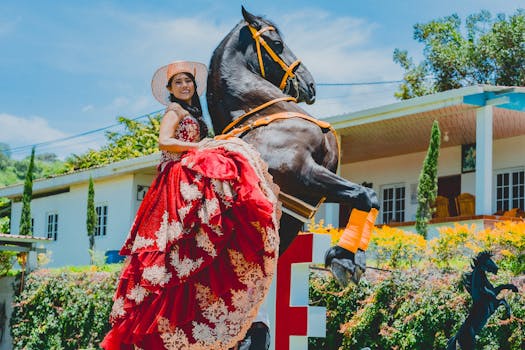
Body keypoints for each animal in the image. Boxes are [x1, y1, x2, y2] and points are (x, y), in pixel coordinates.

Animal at [205, 6, 376, 284]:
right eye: (278, 43)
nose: (311, 84)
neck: (259, 116)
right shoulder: (300, 173)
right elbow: (365, 195)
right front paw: (343, 258)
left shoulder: (307, 197)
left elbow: (365, 198)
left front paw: (350, 258)